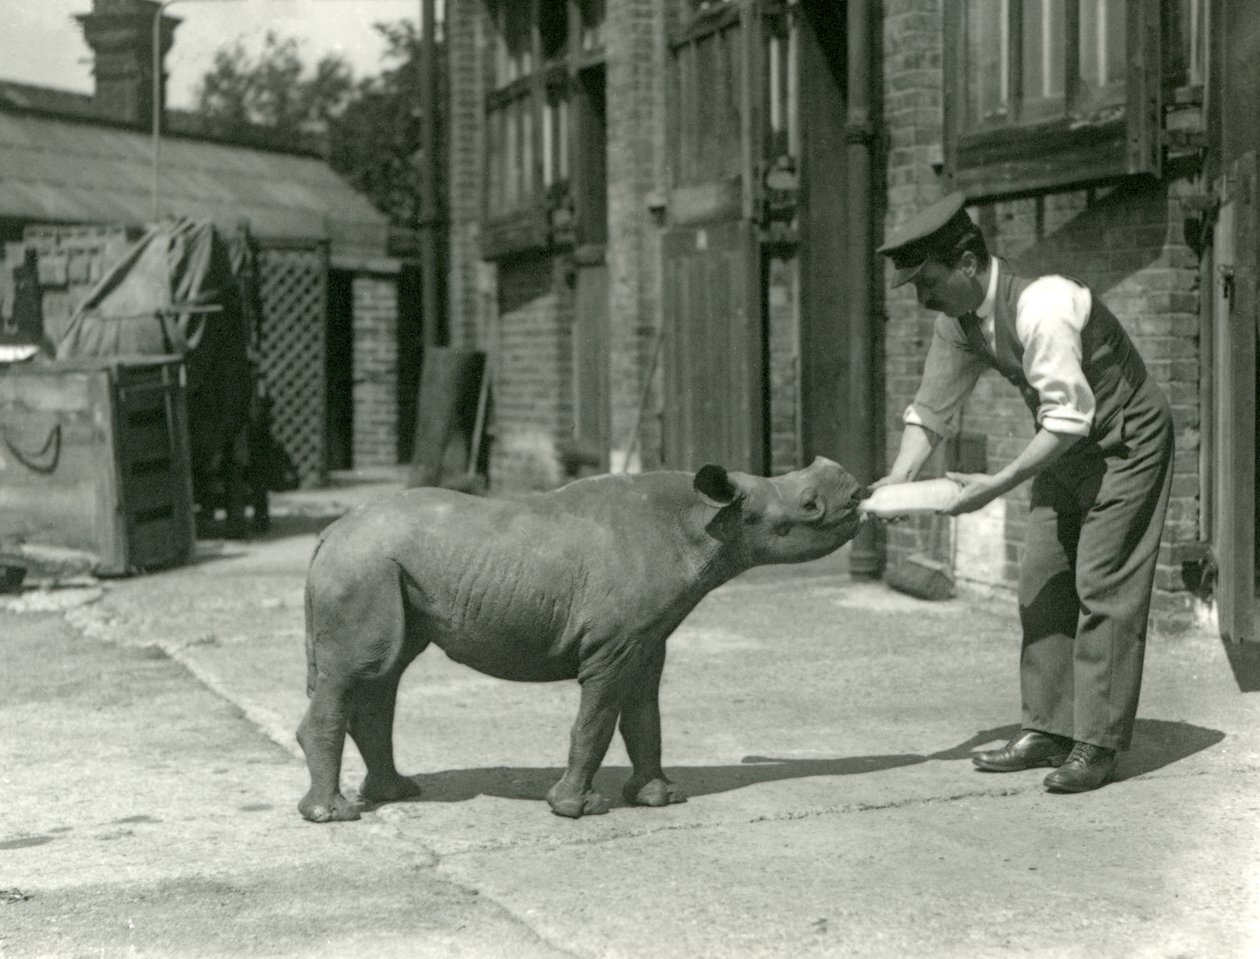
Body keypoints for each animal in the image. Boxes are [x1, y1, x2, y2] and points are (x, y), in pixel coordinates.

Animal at [296, 457, 864, 822]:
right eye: (810, 506)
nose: (858, 492)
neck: (707, 521)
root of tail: (327, 535)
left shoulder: (645, 641)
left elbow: (644, 718)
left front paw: (659, 799)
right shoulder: (612, 648)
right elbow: (596, 722)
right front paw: (576, 809)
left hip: (382, 570)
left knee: (384, 673)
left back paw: (396, 793)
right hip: (363, 568)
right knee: (358, 671)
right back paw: (334, 816)